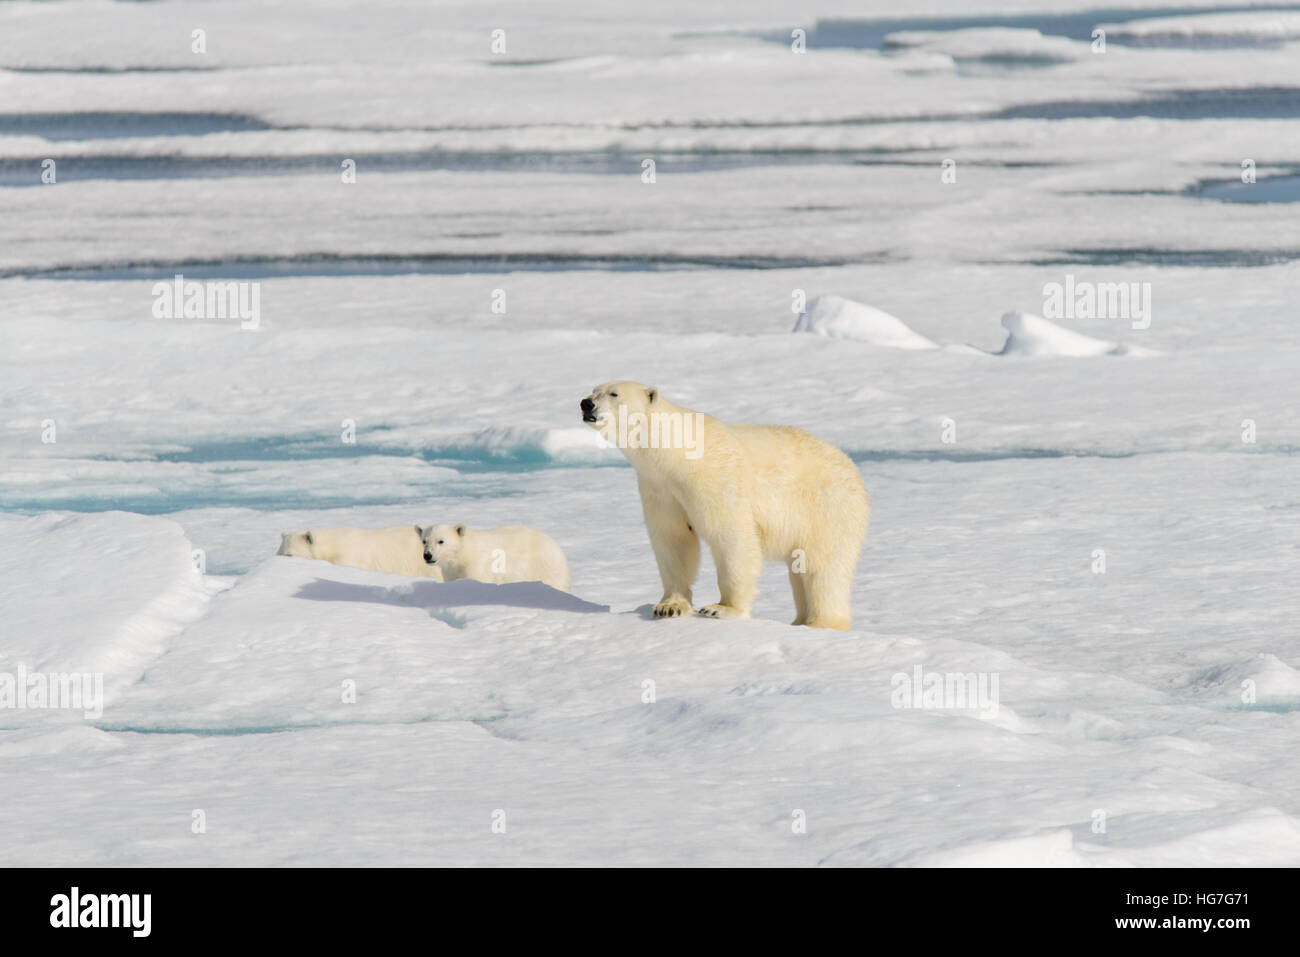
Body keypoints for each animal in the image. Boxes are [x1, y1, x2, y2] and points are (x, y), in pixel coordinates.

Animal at [418, 523, 571, 591]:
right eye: (424, 541)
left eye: (441, 541)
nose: (427, 555)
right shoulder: (451, 572)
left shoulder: (478, 568)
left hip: (546, 568)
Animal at [580, 381, 869, 630]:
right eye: (594, 389)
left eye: (614, 393)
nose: (586, 403)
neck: (676, 455)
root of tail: (853, 469)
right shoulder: (660, 489)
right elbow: (673, 539)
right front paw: (669, 606)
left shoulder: (713, 478)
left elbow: (731, 536)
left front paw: (721, 608)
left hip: (828, 508)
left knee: (823, 568)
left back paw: (821, 623)